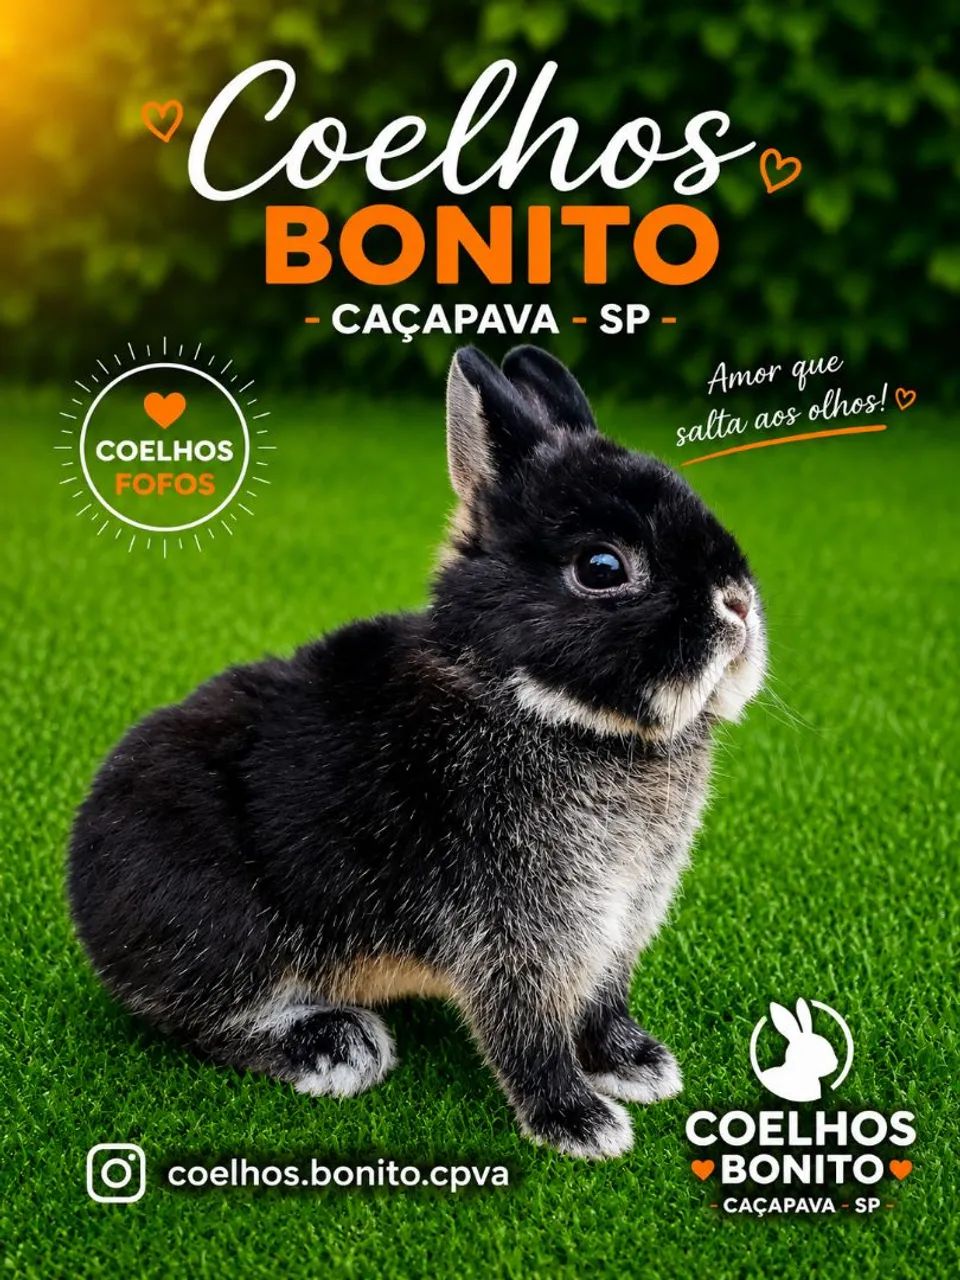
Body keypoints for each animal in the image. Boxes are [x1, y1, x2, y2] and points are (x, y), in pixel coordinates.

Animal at [68, 345, 766, 1160]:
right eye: (602, 568)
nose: (737, 603)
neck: (542, 705)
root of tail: (84, 886)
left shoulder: (618, 919)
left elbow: (599, 1001)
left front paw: (636, 1064)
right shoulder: (513, 927)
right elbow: (525, 1029)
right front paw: (579, 1123)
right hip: (224, 929)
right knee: (204, 1018)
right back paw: (335, 1046)